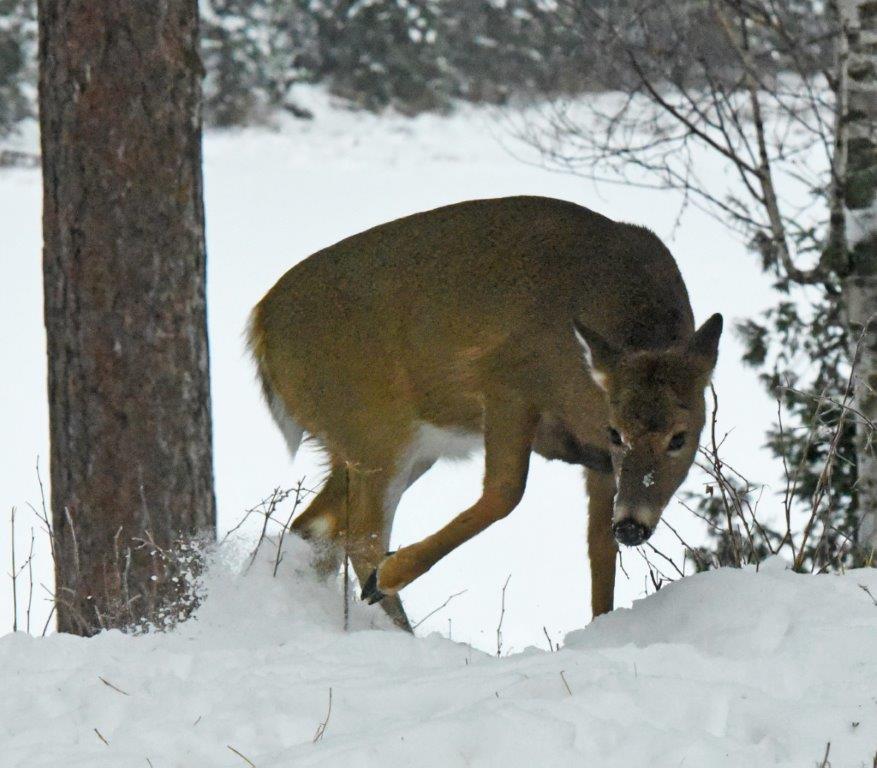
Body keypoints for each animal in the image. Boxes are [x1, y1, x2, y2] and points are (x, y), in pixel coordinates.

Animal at [248, 196, 722, 631]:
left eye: (680, 437)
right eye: (617, 432)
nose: (633, 526)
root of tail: (260, 325)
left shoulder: (599, 461)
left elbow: (599, 552)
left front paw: (601, 626)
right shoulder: (506, 382)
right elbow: (506, 492)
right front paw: (388, 575)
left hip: (387, 446)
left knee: (314, 526)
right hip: (374, 430)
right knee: (360, 537)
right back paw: (389, 608)